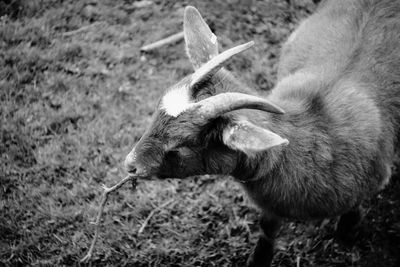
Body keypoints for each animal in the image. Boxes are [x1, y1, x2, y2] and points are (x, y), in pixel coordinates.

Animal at [125, 1, 400, 266]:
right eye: (155, 114)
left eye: (180, 146)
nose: (130, 165)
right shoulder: (272, 207)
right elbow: (268, 229)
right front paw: (259, 258)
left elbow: (352, 213)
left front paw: (347, 233)